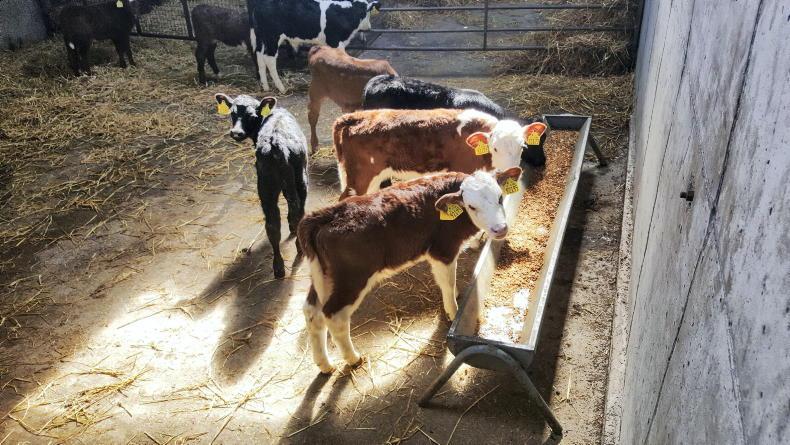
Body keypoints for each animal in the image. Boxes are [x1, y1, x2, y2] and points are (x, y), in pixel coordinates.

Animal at [214, 93, 309, 279]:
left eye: (251, 116)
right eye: (232, 114)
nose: (236, 133)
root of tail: (276, 143)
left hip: (267, 186)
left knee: (273, 224)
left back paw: (279, 266)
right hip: (295, 180)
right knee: (290, 216)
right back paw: (291, 256)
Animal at [249, 0, 382, 93]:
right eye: (367, 13)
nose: (369, 28)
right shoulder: (335, 42)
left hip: (261, 38)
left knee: (259, 57)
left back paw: (265, 87)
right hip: (272, 37)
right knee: (269, 59)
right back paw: (281, 88)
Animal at [298, 168, 522, 373]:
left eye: (500, 197)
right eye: (472, 206)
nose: (500, 229)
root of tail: (327, 213)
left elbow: (445, 282)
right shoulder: (443, 250)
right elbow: (448, 283)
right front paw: (453, 311)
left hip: (323, 276)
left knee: (312, 313)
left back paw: (325, 364)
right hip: (352, 279)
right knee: (334, 317)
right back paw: (353, 358)